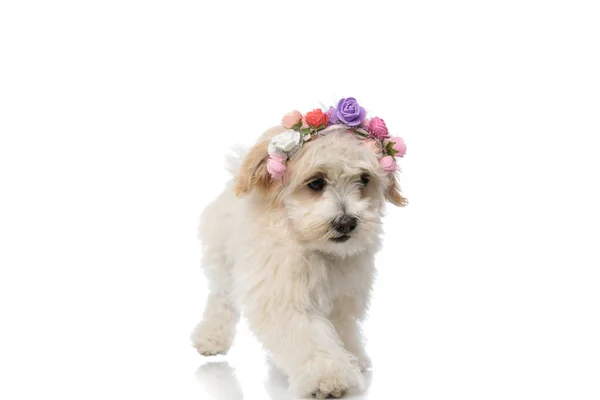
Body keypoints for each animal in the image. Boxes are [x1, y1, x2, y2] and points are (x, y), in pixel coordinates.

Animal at [192, 100, 408, 396]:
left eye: (364, 180)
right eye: (316, 182)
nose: (347, 222)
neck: (315, 248)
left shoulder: (341, 298)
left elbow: (341, 330)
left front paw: (352, 358)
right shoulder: (284, 296)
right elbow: (309, 338)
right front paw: (328, 376)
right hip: (223, 263)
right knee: (221, 300)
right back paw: (211, 338)